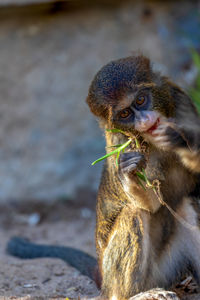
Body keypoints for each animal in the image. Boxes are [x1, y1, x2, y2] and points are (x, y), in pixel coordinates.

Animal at [6, 55, 200, 298]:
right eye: (125, 114)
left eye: (141, 100)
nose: (145, 120)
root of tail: (103, 278)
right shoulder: (121, 142)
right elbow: (150, 204)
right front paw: (129, 172)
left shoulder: (182, 102)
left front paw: (179, 138)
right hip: (137, 275)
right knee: (133, 212)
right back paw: (135, 295)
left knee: (187, 203)